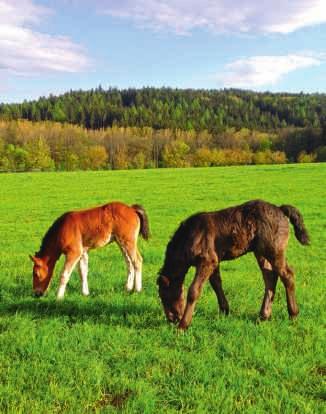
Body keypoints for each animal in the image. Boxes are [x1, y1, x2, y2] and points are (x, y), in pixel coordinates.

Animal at [158, 200, 310, 330]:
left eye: (164, 296)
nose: (172, 319)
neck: (190, 236)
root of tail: (280, 209)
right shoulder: (214, 262)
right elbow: (216, 284)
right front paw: (224, 311)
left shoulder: (207, 261)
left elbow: (194, 291)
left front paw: (183, 326)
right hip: (261, 252)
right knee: (270, 277)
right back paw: (263, 316)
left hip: (274, 251)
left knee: (287, 275)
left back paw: (293, 315)